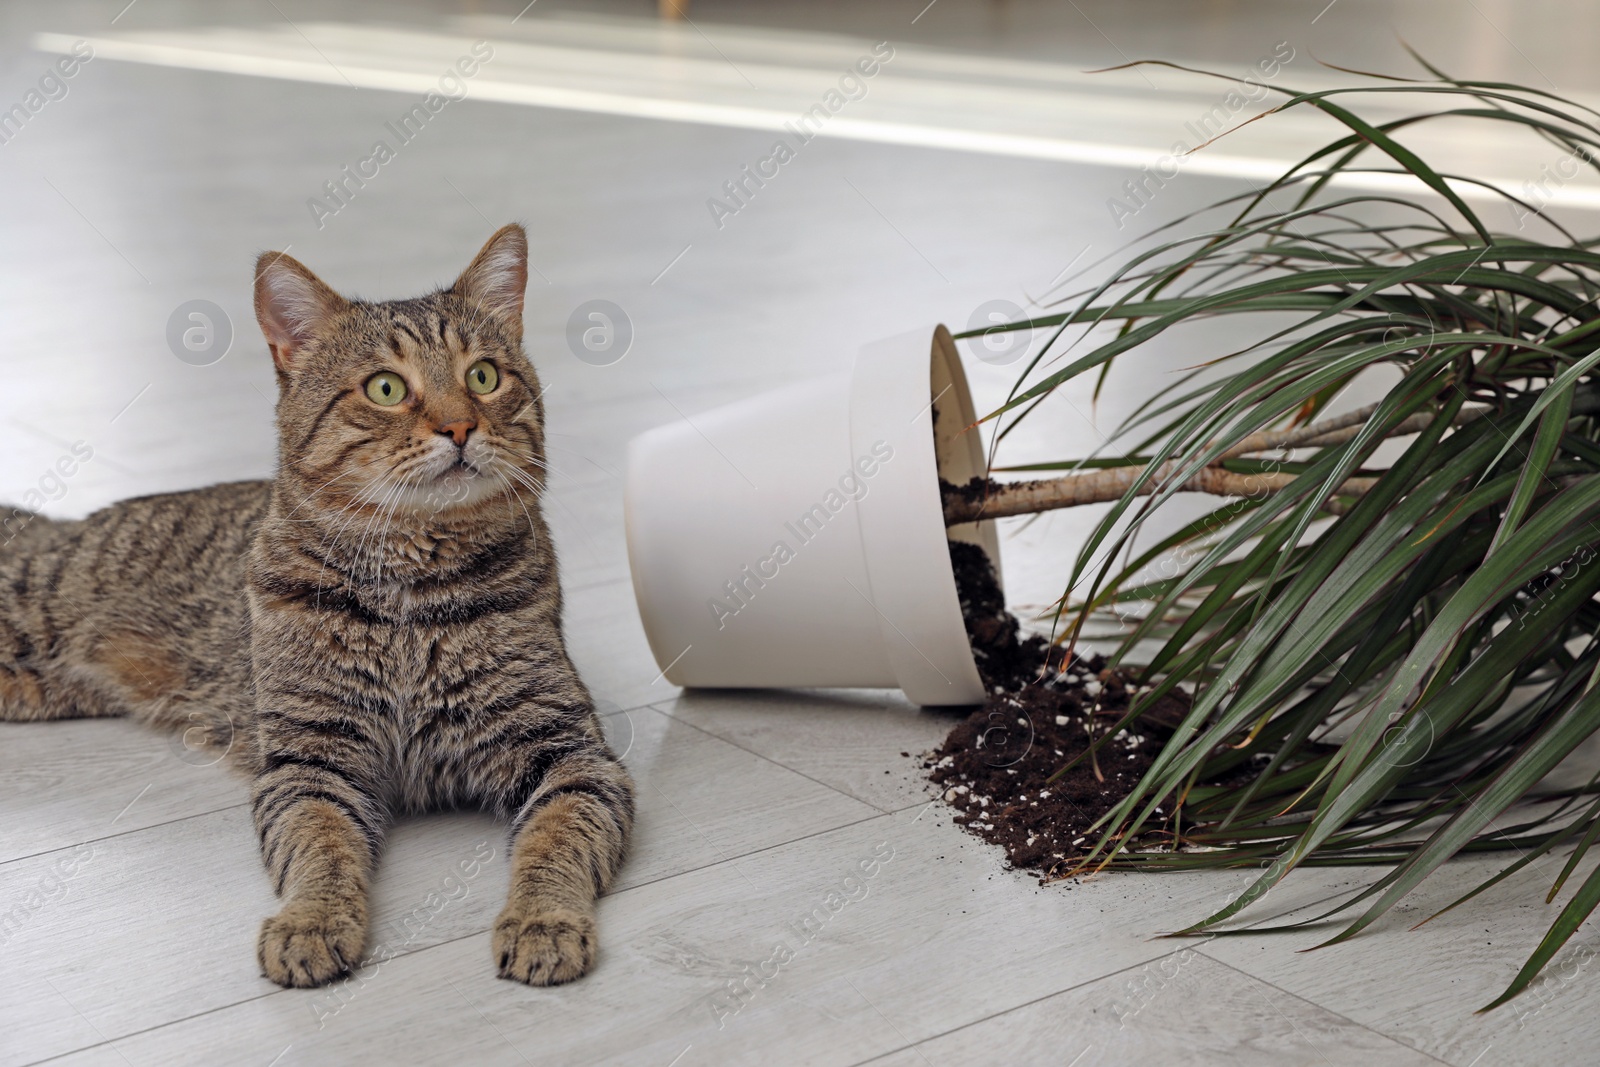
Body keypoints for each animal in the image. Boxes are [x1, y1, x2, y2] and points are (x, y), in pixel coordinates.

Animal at [0, 227, 633, 991]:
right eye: (386, 388)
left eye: (483, 376)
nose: (459, 426)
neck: (412, 592)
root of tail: (64, 523)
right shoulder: (311, 760)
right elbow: (321, 847)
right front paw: (312, 921)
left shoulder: (570, 752)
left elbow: (556, 841)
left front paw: (544, 920)